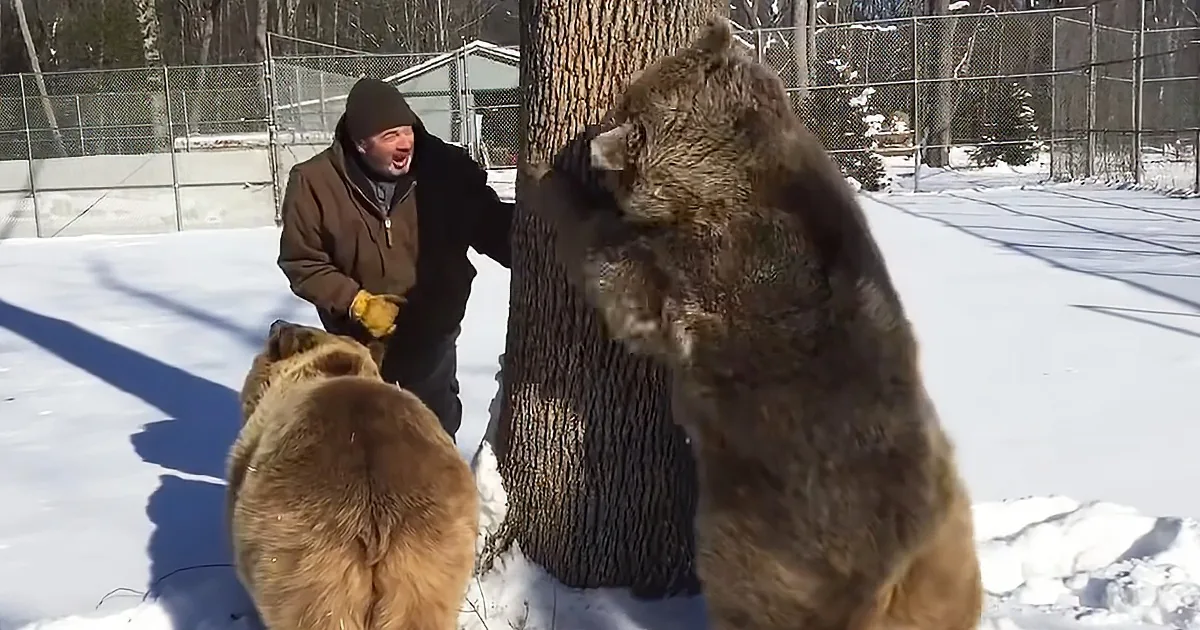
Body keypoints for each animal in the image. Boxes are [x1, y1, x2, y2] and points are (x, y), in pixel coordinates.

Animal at [525, 16, 983, 630]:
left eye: (632, 108)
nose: (592, 141)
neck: (712, 178)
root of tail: (893, 577)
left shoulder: (714, 264)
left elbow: (622, 279)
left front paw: (541, 174)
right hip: (947, 555)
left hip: (772, 548)